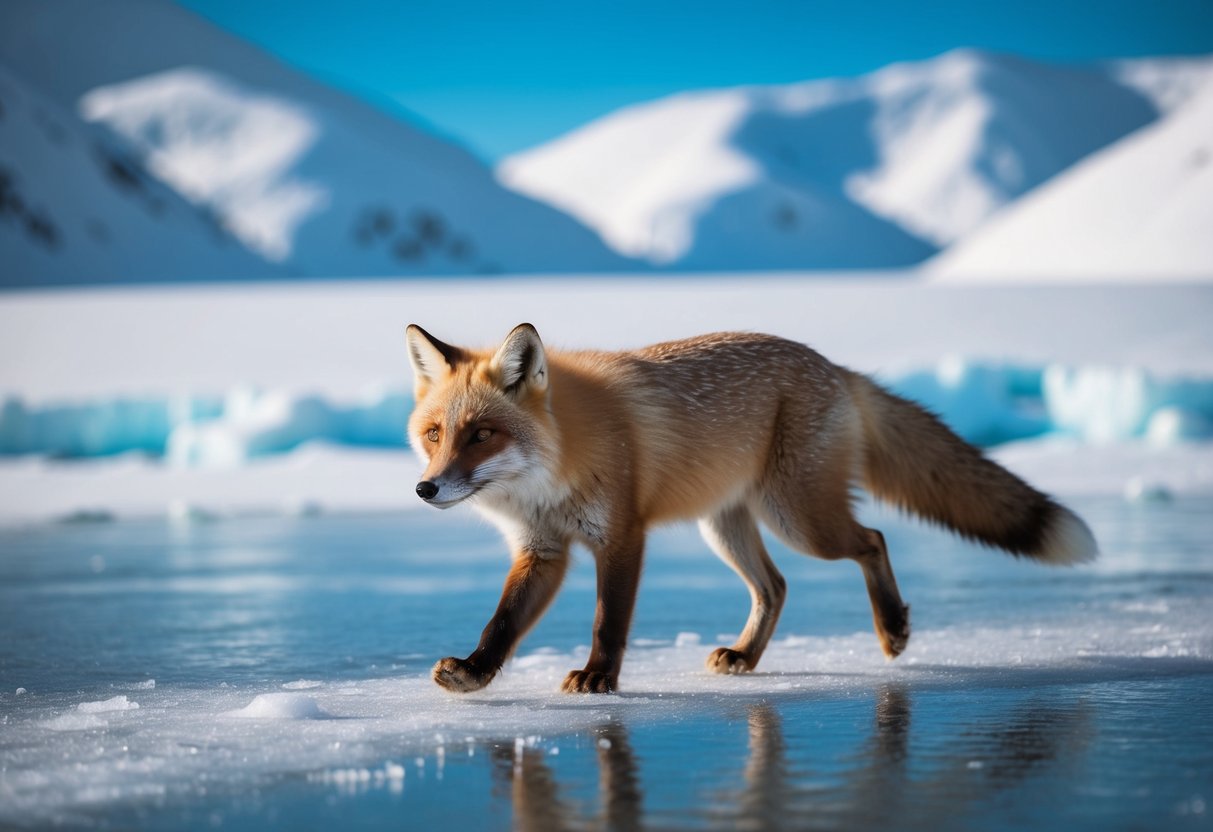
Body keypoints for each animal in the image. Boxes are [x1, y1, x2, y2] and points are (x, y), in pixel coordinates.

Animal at [406, 323, 1097, 695]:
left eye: (482, 435)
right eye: (435, 434)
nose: (425, 489)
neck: (556, 466)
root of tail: (833, 365)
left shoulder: (622, 536)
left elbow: (608, 622)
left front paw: (600, 678)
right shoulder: (542, 550)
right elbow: (502, 623)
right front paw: (473, 673)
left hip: (800, 519)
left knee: (872, 539)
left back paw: (892, 629)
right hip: (727, 527)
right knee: (777, 586)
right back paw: (746, 657)